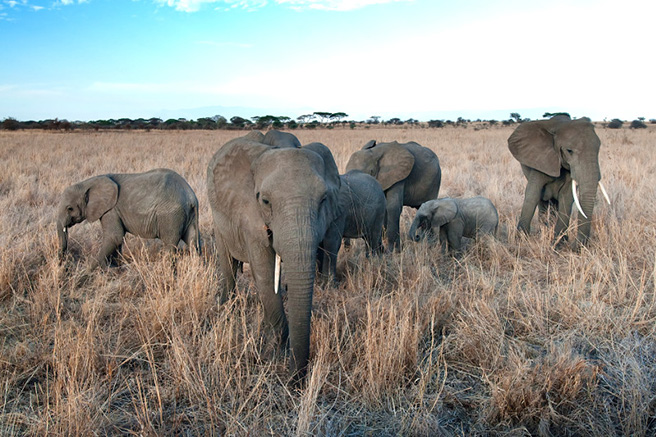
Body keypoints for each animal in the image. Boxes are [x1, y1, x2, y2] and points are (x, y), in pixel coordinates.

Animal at [56, 168, 200, 268]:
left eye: (70, 208)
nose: (63, 264)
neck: (87, 183)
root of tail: (191, 196)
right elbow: (117, 239)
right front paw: (115, 267)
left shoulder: (111, 210)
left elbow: (114, 236)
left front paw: (89, 270)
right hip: (188, 215)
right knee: (194, 242)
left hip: (171, 215)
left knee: (170, 245)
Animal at [206, 133, 342, 383]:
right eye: (266, 201)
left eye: (323, 200)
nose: (293, 380)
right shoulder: (248, 214)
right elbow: (265, 273)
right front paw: (275, 353)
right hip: (217, 212)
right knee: (227, 258)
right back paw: (226, 306)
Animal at [508, 115, 610, 247]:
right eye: (569, 151)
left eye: (598, 149)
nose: (576, 247)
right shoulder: (540, 159)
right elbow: (533, 193)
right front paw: (521, 239)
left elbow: (566, 198)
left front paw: (558, 243)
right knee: (542, 201)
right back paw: (543, 231)